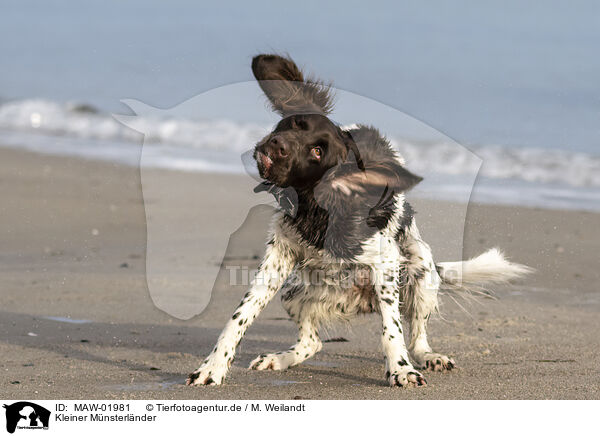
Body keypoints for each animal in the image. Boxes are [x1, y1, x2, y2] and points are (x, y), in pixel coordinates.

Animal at [186, 55, 528, 388]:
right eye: (295, 123)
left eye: (317, 151)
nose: (276, 144)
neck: (316, 207)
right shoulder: (278, 258)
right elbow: (240, 316)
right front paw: (212, 367)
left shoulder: (385, 262)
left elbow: (392, 330)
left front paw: (401, 370)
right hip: (295, 293)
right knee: (311, 343)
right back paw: (279, 359)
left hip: (421, 275)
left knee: (417, 337)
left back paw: (430, 357)